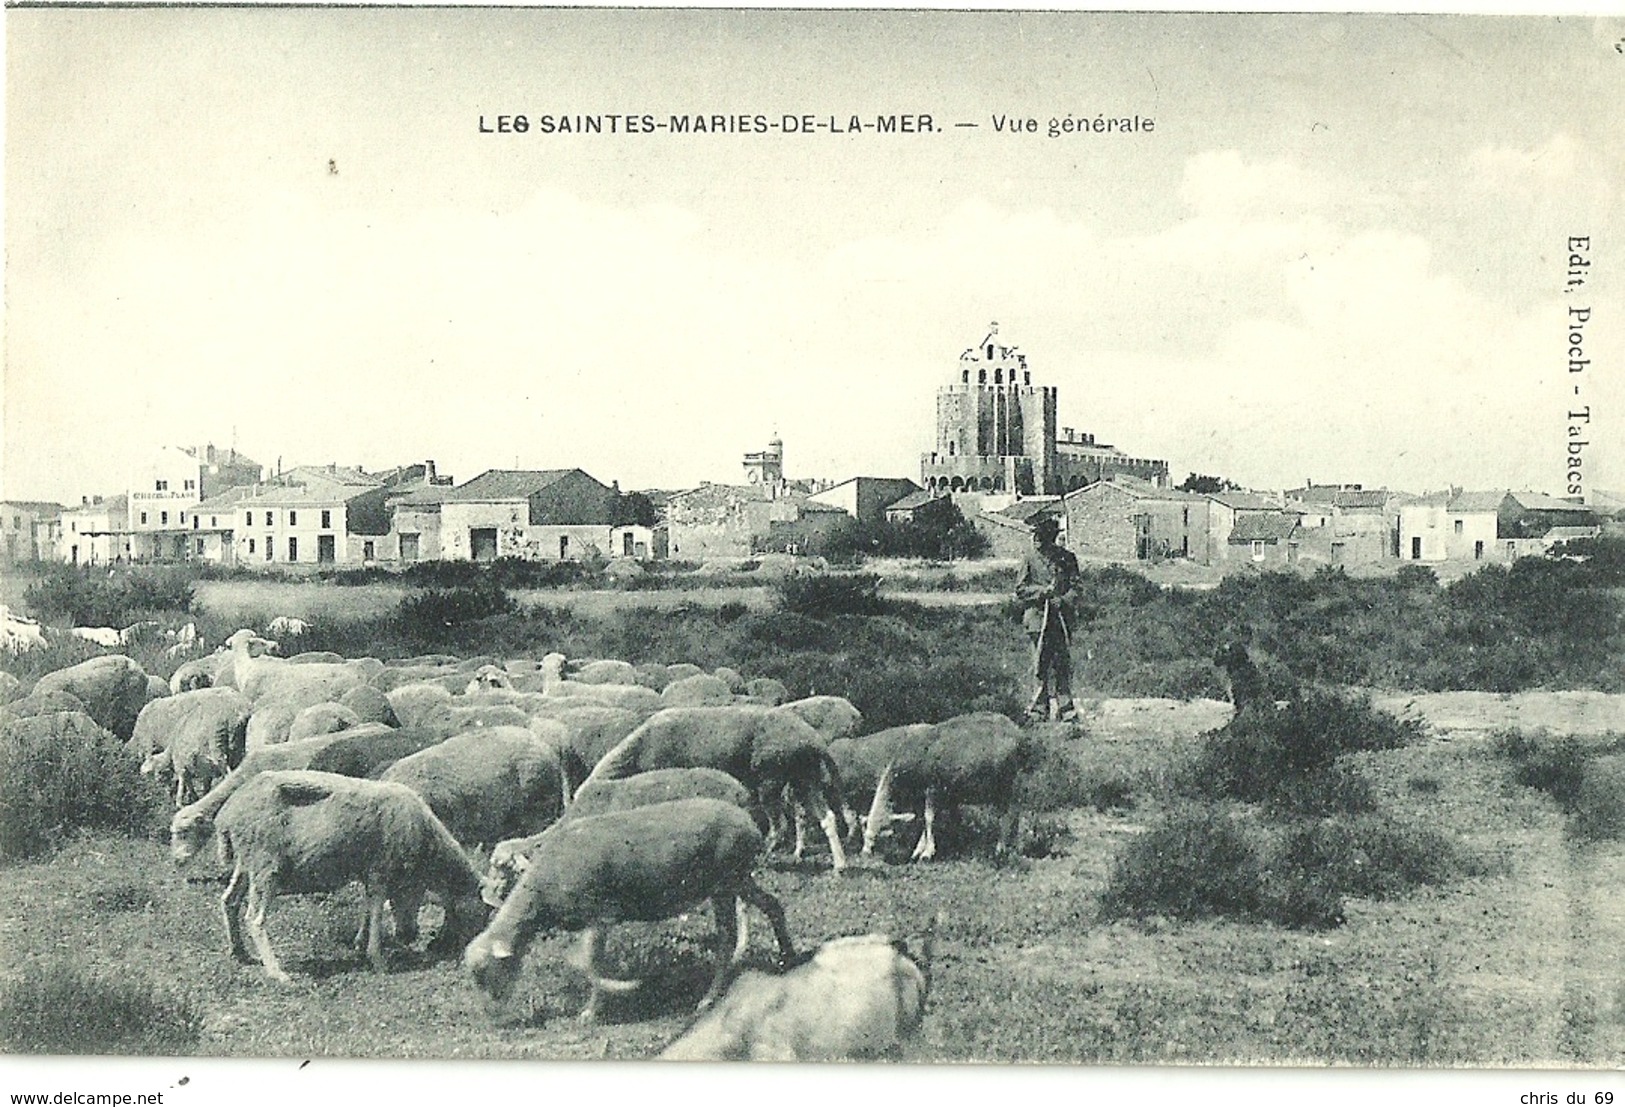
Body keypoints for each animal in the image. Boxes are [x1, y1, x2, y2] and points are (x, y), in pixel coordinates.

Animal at [212, 764, 484, 981]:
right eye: (482, 916)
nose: (412, 937)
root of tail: (226, 815)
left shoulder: (369, 873)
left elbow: (368, 908)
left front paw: (360, 944)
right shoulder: (380, 870)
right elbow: (376, 911)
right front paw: (377, 959)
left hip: (245, 863)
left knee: (229, 900)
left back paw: (239, 952)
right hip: (266, 868)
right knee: (254, 920)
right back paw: (277, 972)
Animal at [461, 793, 796, 1020]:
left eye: (485, 973)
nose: (491, 1018)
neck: (541, 894)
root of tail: (750, 825)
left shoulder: (600, 915)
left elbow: (590, 964)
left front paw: (597, 1007)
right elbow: (584, 962)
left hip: (726, 880)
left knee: (728, 938)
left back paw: (708, 999)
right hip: (735, 880)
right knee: (772, 905)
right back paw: (787, 958)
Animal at [578, 708, 851, 871]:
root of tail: (812, 738)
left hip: (771, 780)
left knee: (779, 826)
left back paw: (761, 858)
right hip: (805, 777)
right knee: (827, 818)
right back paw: (838, 864)